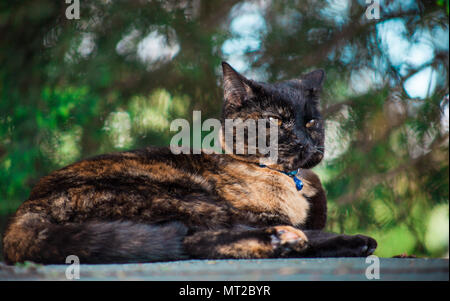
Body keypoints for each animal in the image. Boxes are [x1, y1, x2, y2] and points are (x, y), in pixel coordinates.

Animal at [2, 61, 376, 262]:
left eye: (311, 122)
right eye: (275, 120)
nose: (304, 140)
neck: (291, 181)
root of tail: (26, 210)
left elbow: (317, 227)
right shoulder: (253, 216)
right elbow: (314, 231)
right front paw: (342, 238)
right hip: (187, 198)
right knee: (191, 241)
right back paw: (286, 240)